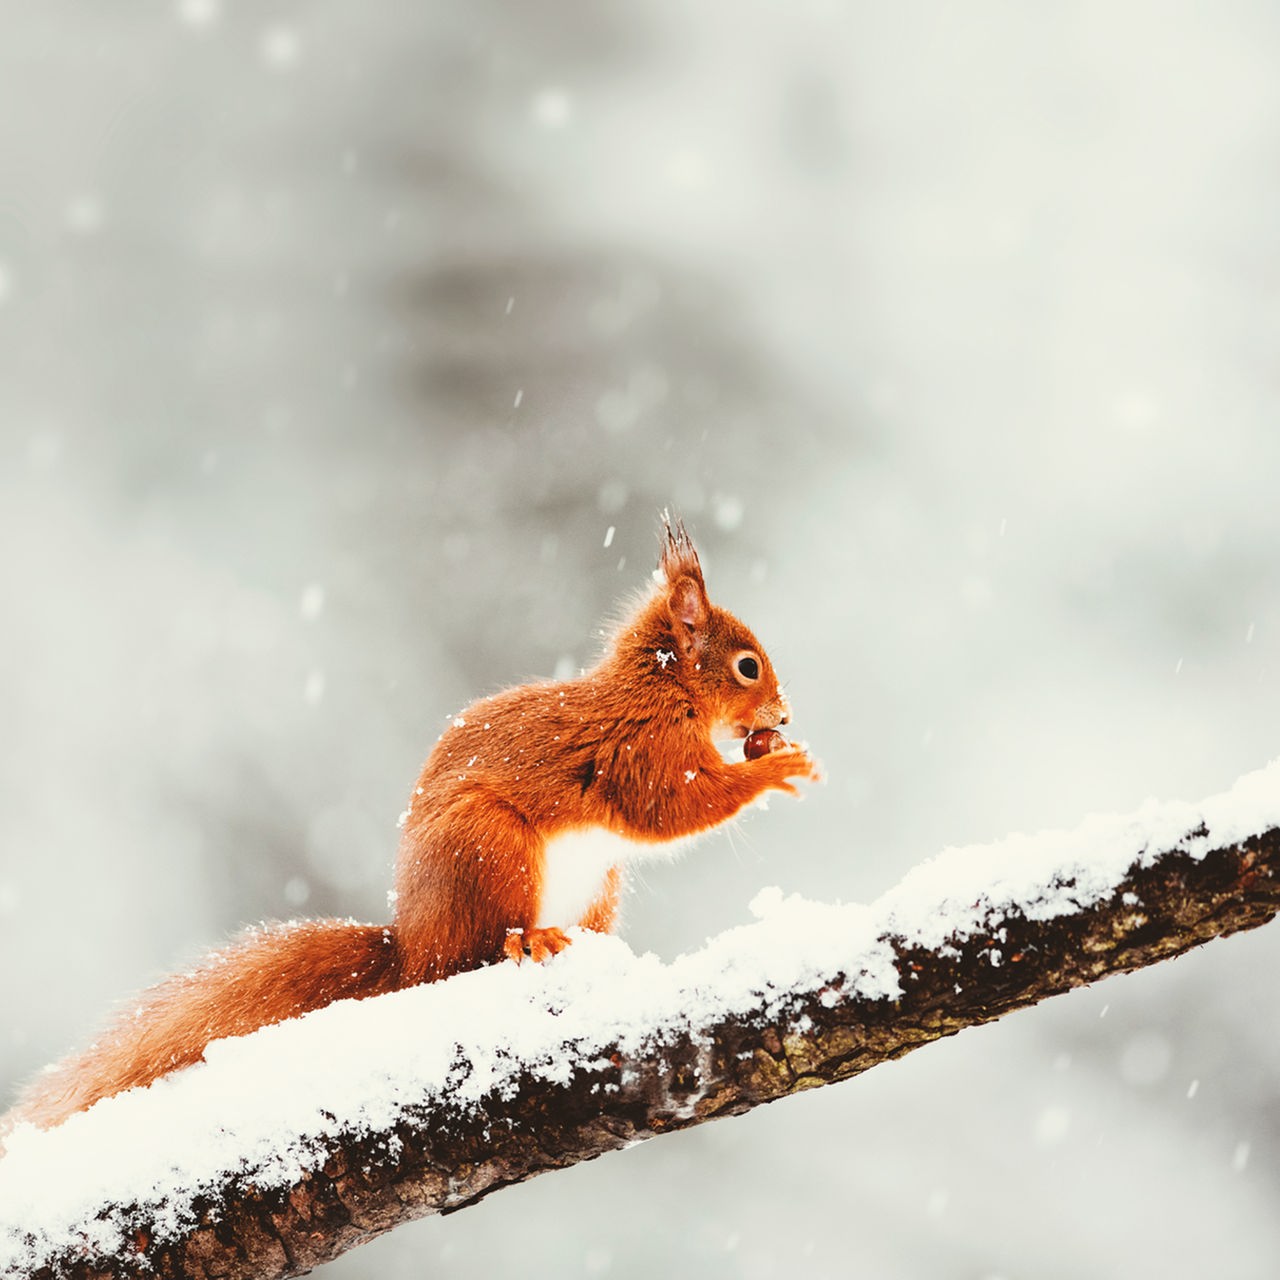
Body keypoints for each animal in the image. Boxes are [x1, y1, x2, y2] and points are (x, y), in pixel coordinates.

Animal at [2, 514, 819, 1136]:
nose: (782, 717)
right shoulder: (641, 754)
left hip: (596, 886)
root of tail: (412, 950)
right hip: (490, 848)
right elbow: (674, 809)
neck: (662, 691)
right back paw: (527, 942)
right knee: (474, 954)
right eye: (747, 666)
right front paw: (778, 770)